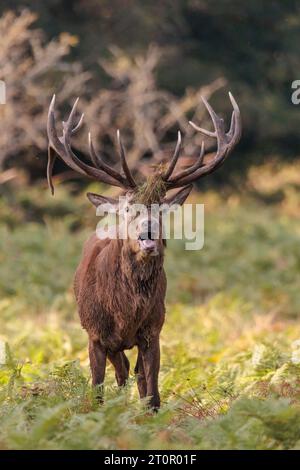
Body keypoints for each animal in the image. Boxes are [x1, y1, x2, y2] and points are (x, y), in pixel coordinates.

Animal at [45, 92, 240, 408]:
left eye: (161, 209)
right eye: (127, 208)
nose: (148, 234)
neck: (125, 312)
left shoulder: (154, 330)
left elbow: (152, 395)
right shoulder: (94, 334)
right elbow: (97, 392)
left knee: (133, 374)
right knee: (121, 371)